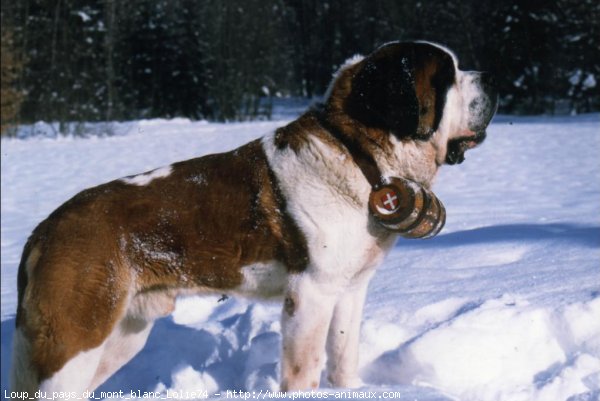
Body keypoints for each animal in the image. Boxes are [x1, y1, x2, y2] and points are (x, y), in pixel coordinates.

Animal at [10, 41, 496, 394]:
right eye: (447, 75)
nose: (490, 76)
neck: (359, 154)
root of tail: (44, 229)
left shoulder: (350, 290)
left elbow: (343, 353)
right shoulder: (310, 294)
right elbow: (304, 368)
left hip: (123, 333)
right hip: (73, 343)